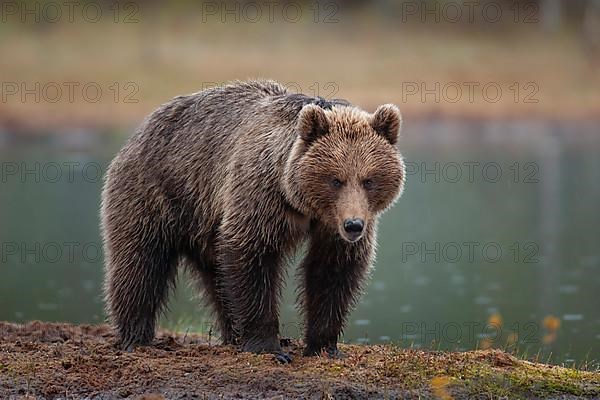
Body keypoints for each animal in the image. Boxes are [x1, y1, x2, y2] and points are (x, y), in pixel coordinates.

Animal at [101, 79, 406, 360]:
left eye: (369, 180)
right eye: (335, 179)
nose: (353, 225)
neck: (303, 203)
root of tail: (142, 128)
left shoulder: (333, 224)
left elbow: (333, 270)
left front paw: (324, 346)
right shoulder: (262, 195)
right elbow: (252, 255)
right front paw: (268, 347)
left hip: (205, 221)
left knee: (216, 275)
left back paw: (232, 334)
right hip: (158, 192)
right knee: (140, 262)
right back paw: (135, 337)